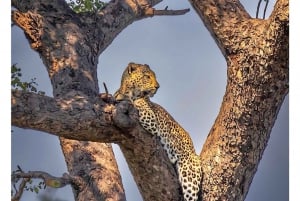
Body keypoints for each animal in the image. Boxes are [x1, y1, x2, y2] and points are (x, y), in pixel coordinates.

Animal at [113, 62, 203, 201]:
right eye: (147, 76)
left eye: (154, 76)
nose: (157, 87)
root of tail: (193, 151)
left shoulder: (151, 121)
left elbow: (138, 101)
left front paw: (130, 98)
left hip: (189, 173)